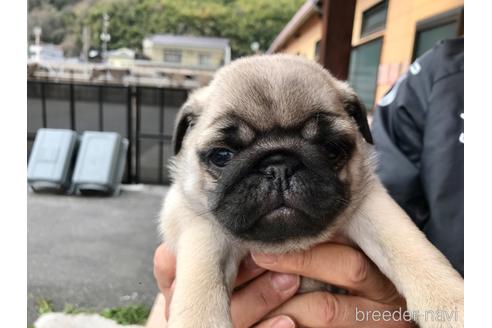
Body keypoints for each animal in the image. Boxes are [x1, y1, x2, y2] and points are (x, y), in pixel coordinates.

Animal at [160, 54, 464, 328]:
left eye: (332, 149)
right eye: (222, 156)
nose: (278, 166)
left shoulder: (372, 205)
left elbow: (408, 246)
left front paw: (450, 303)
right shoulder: (197, 223)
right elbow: (202, 274)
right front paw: (199, 319)